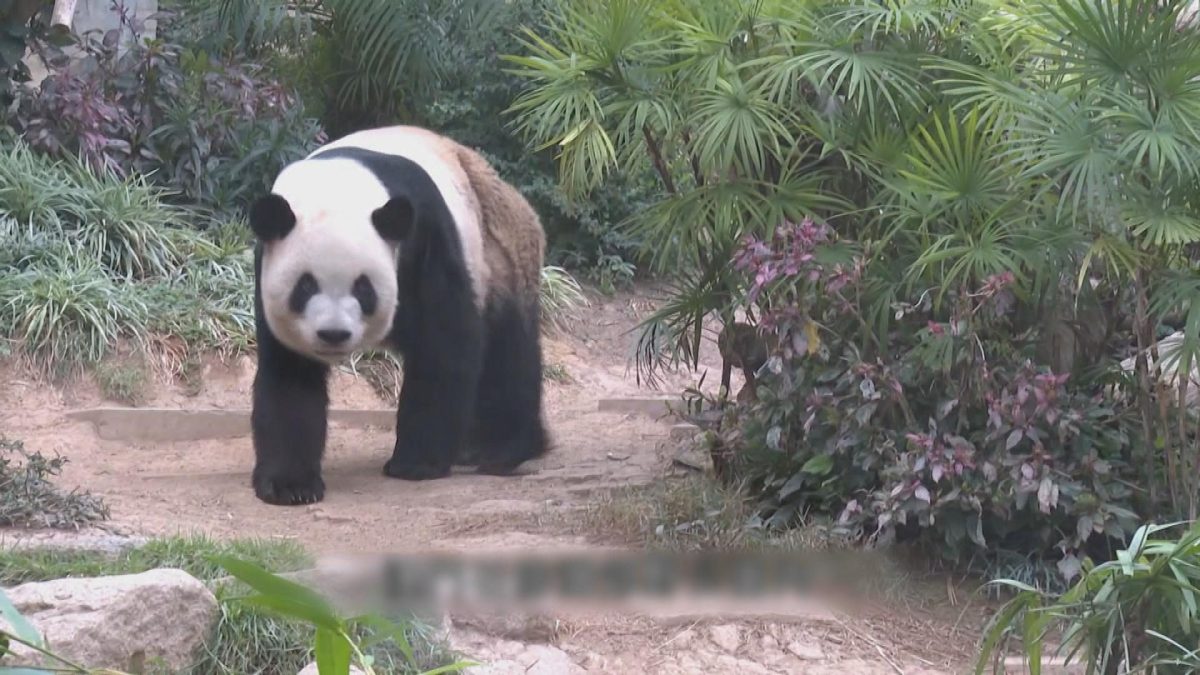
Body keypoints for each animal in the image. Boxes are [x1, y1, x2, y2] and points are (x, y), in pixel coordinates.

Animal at [246, 125, 550, 506]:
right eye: (305, 286)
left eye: (363, 288)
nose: (333, 334)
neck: (338, 185)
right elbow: (291, 375)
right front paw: (290, 485)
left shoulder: (424, 238)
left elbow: (443, 345)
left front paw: (416, 463)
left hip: (497, 253)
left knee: (507, 350)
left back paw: (499, 448)